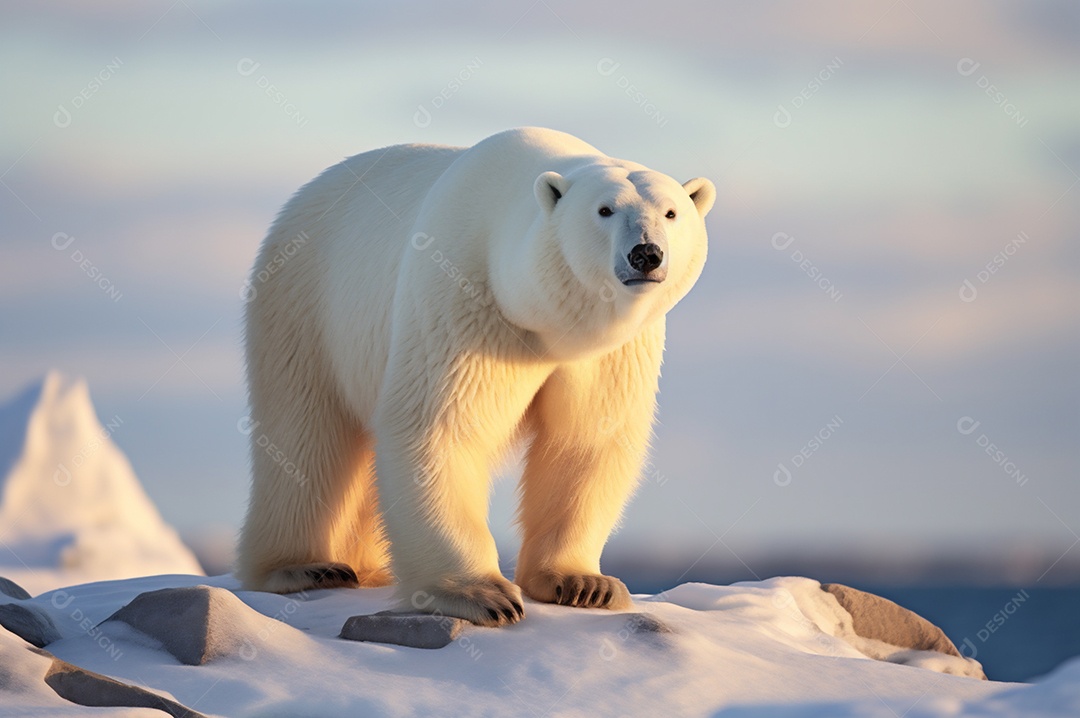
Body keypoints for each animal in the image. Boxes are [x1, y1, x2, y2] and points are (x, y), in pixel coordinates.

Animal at [236, 127, 715, 627]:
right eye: (604, 210)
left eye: (671, 211)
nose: (646, 254)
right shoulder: (464, 294)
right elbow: (442, 426)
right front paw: (483, 595)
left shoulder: (611, 352)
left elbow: (587, 439)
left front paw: (585, 584)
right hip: (306, 303)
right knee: (304, 434)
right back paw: (307, 567)